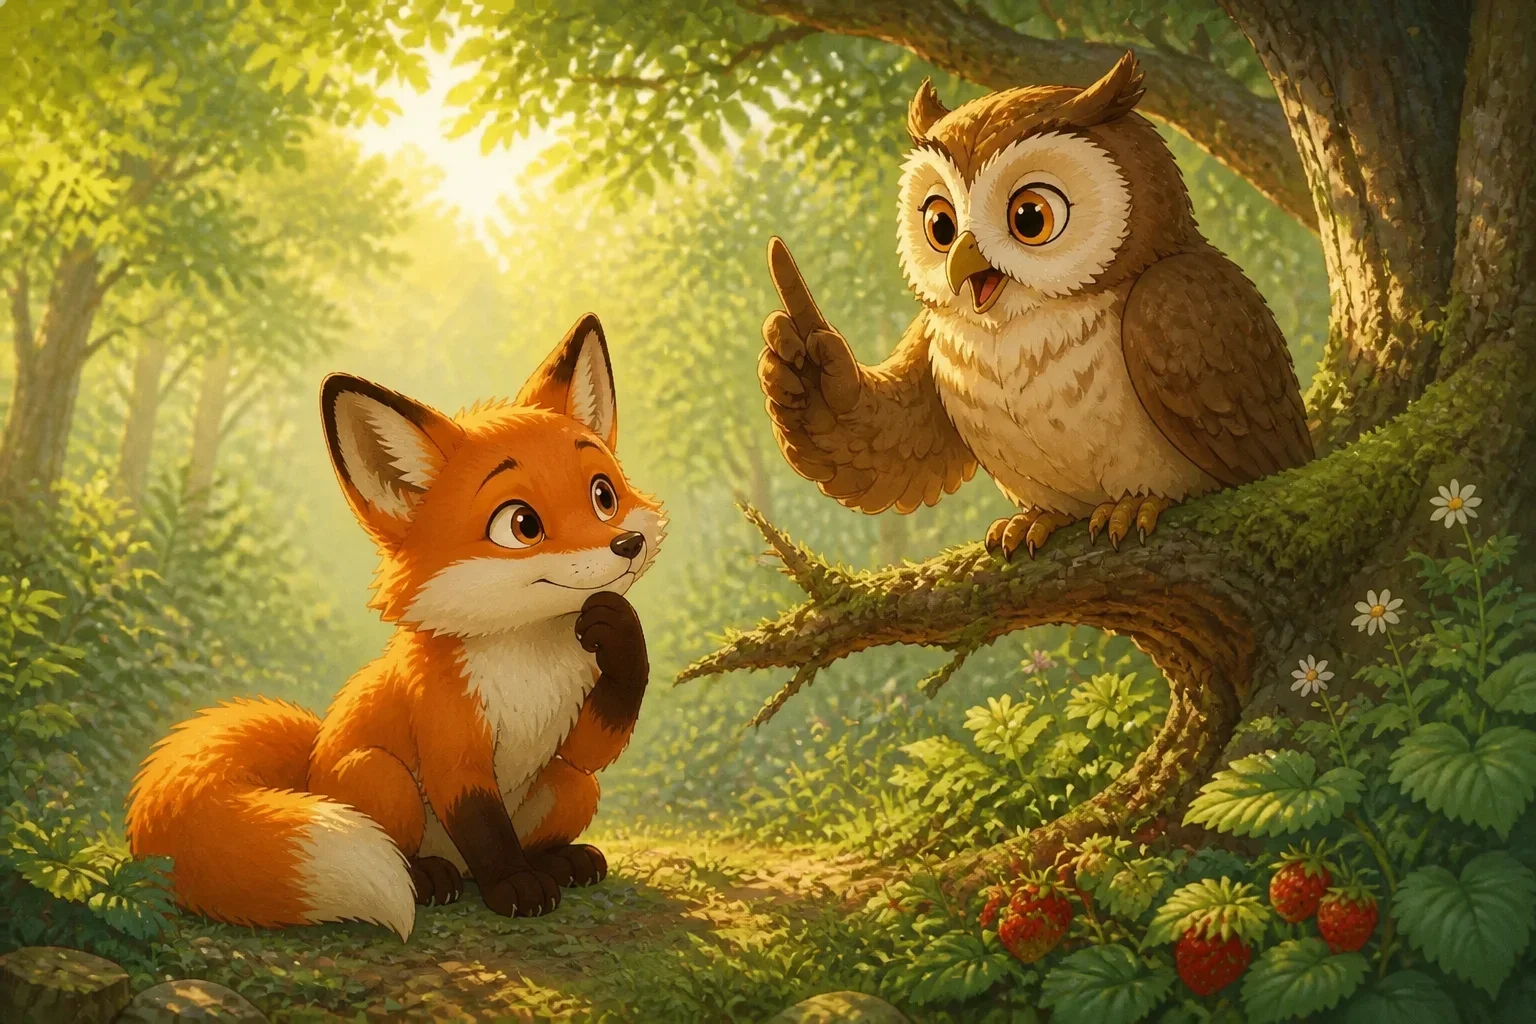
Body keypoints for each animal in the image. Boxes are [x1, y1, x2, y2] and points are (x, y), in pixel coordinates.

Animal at [126, 314, 666, 939]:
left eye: (603, 494)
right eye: (522, 525)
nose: (627, 544)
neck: (528, 661)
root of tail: (310, 767)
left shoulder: (574, 727)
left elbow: (594, 745)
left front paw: (621, 628)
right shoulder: (451, 741)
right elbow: (485, 827)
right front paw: (515, 886)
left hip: (569, 789)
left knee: (569, 787)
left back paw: (560, 859)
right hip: (382, 777)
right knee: (415, 847)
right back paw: (431, 878)